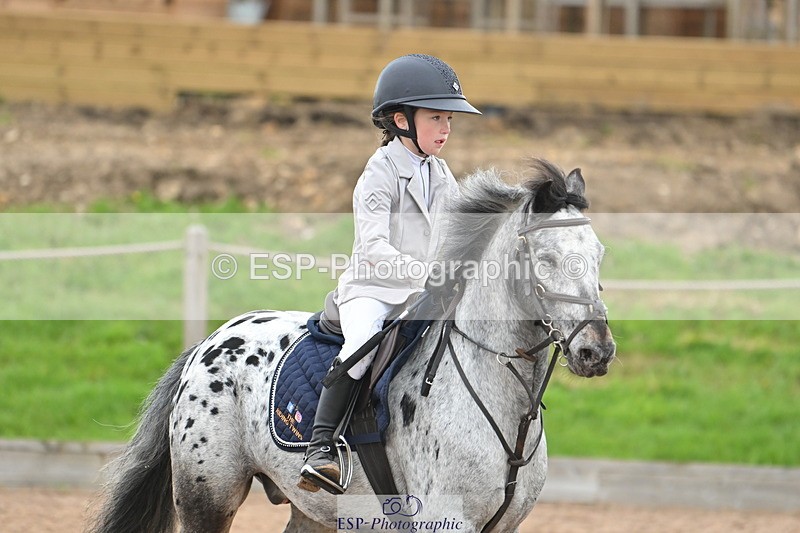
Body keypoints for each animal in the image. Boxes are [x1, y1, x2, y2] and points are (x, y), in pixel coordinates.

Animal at [89, 159, 615, 533]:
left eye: (598, 255)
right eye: (546, 258)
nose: (597, 351)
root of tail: (210, 342)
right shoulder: (446, 521)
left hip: (312, 509)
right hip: (208, 497)